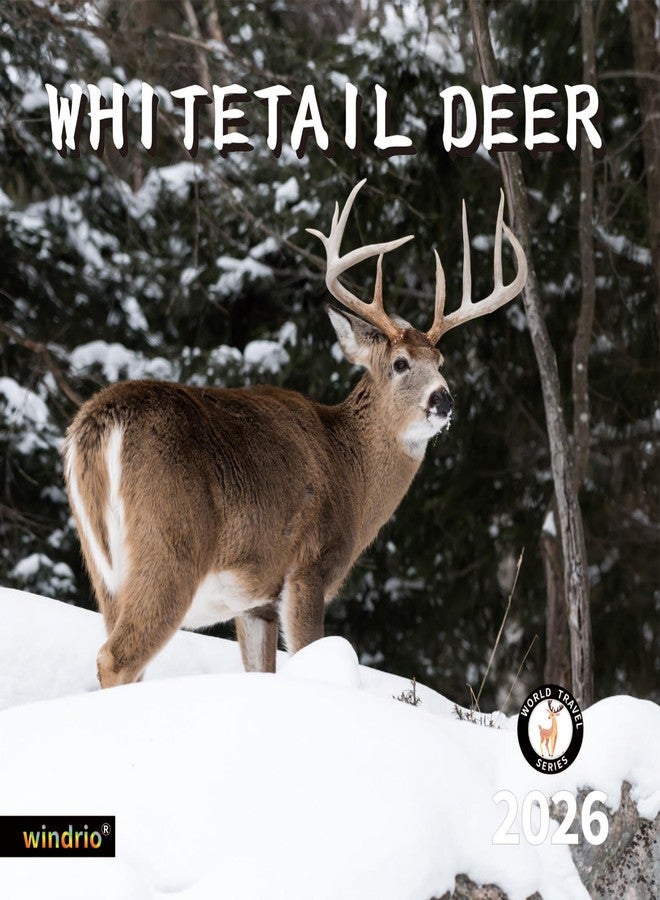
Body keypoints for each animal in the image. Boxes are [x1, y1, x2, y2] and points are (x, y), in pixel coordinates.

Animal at [63, 180, 527, 688]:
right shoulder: (309, 568)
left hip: (104, 572)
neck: (351, 469)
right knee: (117, 657)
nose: (443, 400)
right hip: (169, 547)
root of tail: (100, 421)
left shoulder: (257, 601)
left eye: (441, 362)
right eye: (401, 364)